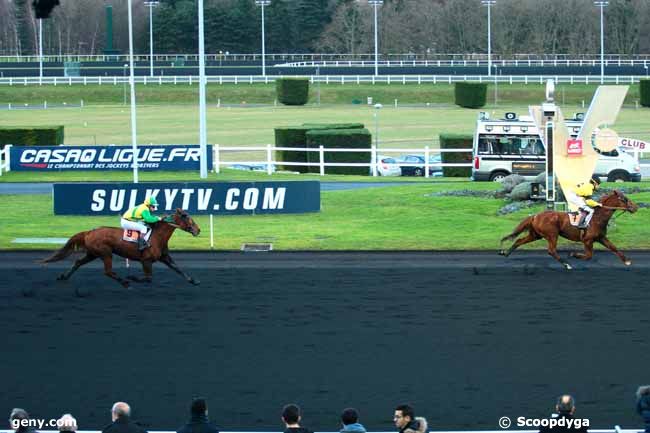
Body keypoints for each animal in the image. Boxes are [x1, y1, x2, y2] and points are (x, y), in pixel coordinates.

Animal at [40, 208, 200, 286]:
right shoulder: (146, 260)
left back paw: (63, 276)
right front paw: (133, 277)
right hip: (105, 253)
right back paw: (125, 282)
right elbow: (148, 277)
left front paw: (194, 281)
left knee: (78, 262)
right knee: (108, 272)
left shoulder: (164, 257)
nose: (198, 230)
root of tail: (90, 231)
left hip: (93, 253)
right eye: (187, 217)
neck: (156, 236)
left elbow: (178, 269)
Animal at [498, 191, 636, 268]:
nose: (635, 207)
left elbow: (614, 248)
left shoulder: (601, 237)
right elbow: (589, 255)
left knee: (519, 241)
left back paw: (506, 253)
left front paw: (627, 261)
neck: (598, 217)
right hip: (552, 235)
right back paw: (567, 264)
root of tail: (535, 216)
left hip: (536, 235)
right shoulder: (587, 240)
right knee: (551, 250)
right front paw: (573, 254)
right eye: (624, 199)